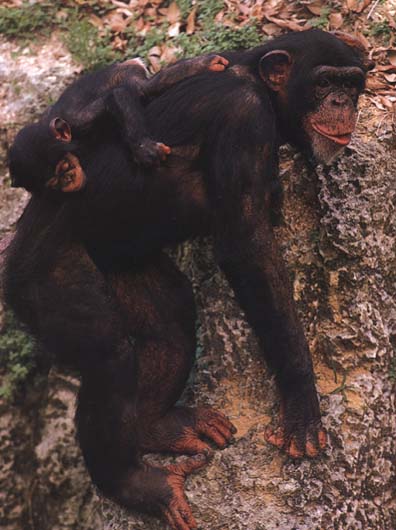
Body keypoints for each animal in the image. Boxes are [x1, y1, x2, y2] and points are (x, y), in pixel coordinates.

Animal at [9, 52, 229, 193]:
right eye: (54, 183)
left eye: (64, 168)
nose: (67, 181)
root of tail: (127, 61)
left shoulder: (80, 121)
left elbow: (115, 97)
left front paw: (144, 149)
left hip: (123, 73)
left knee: (145, 87)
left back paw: (202, 64)